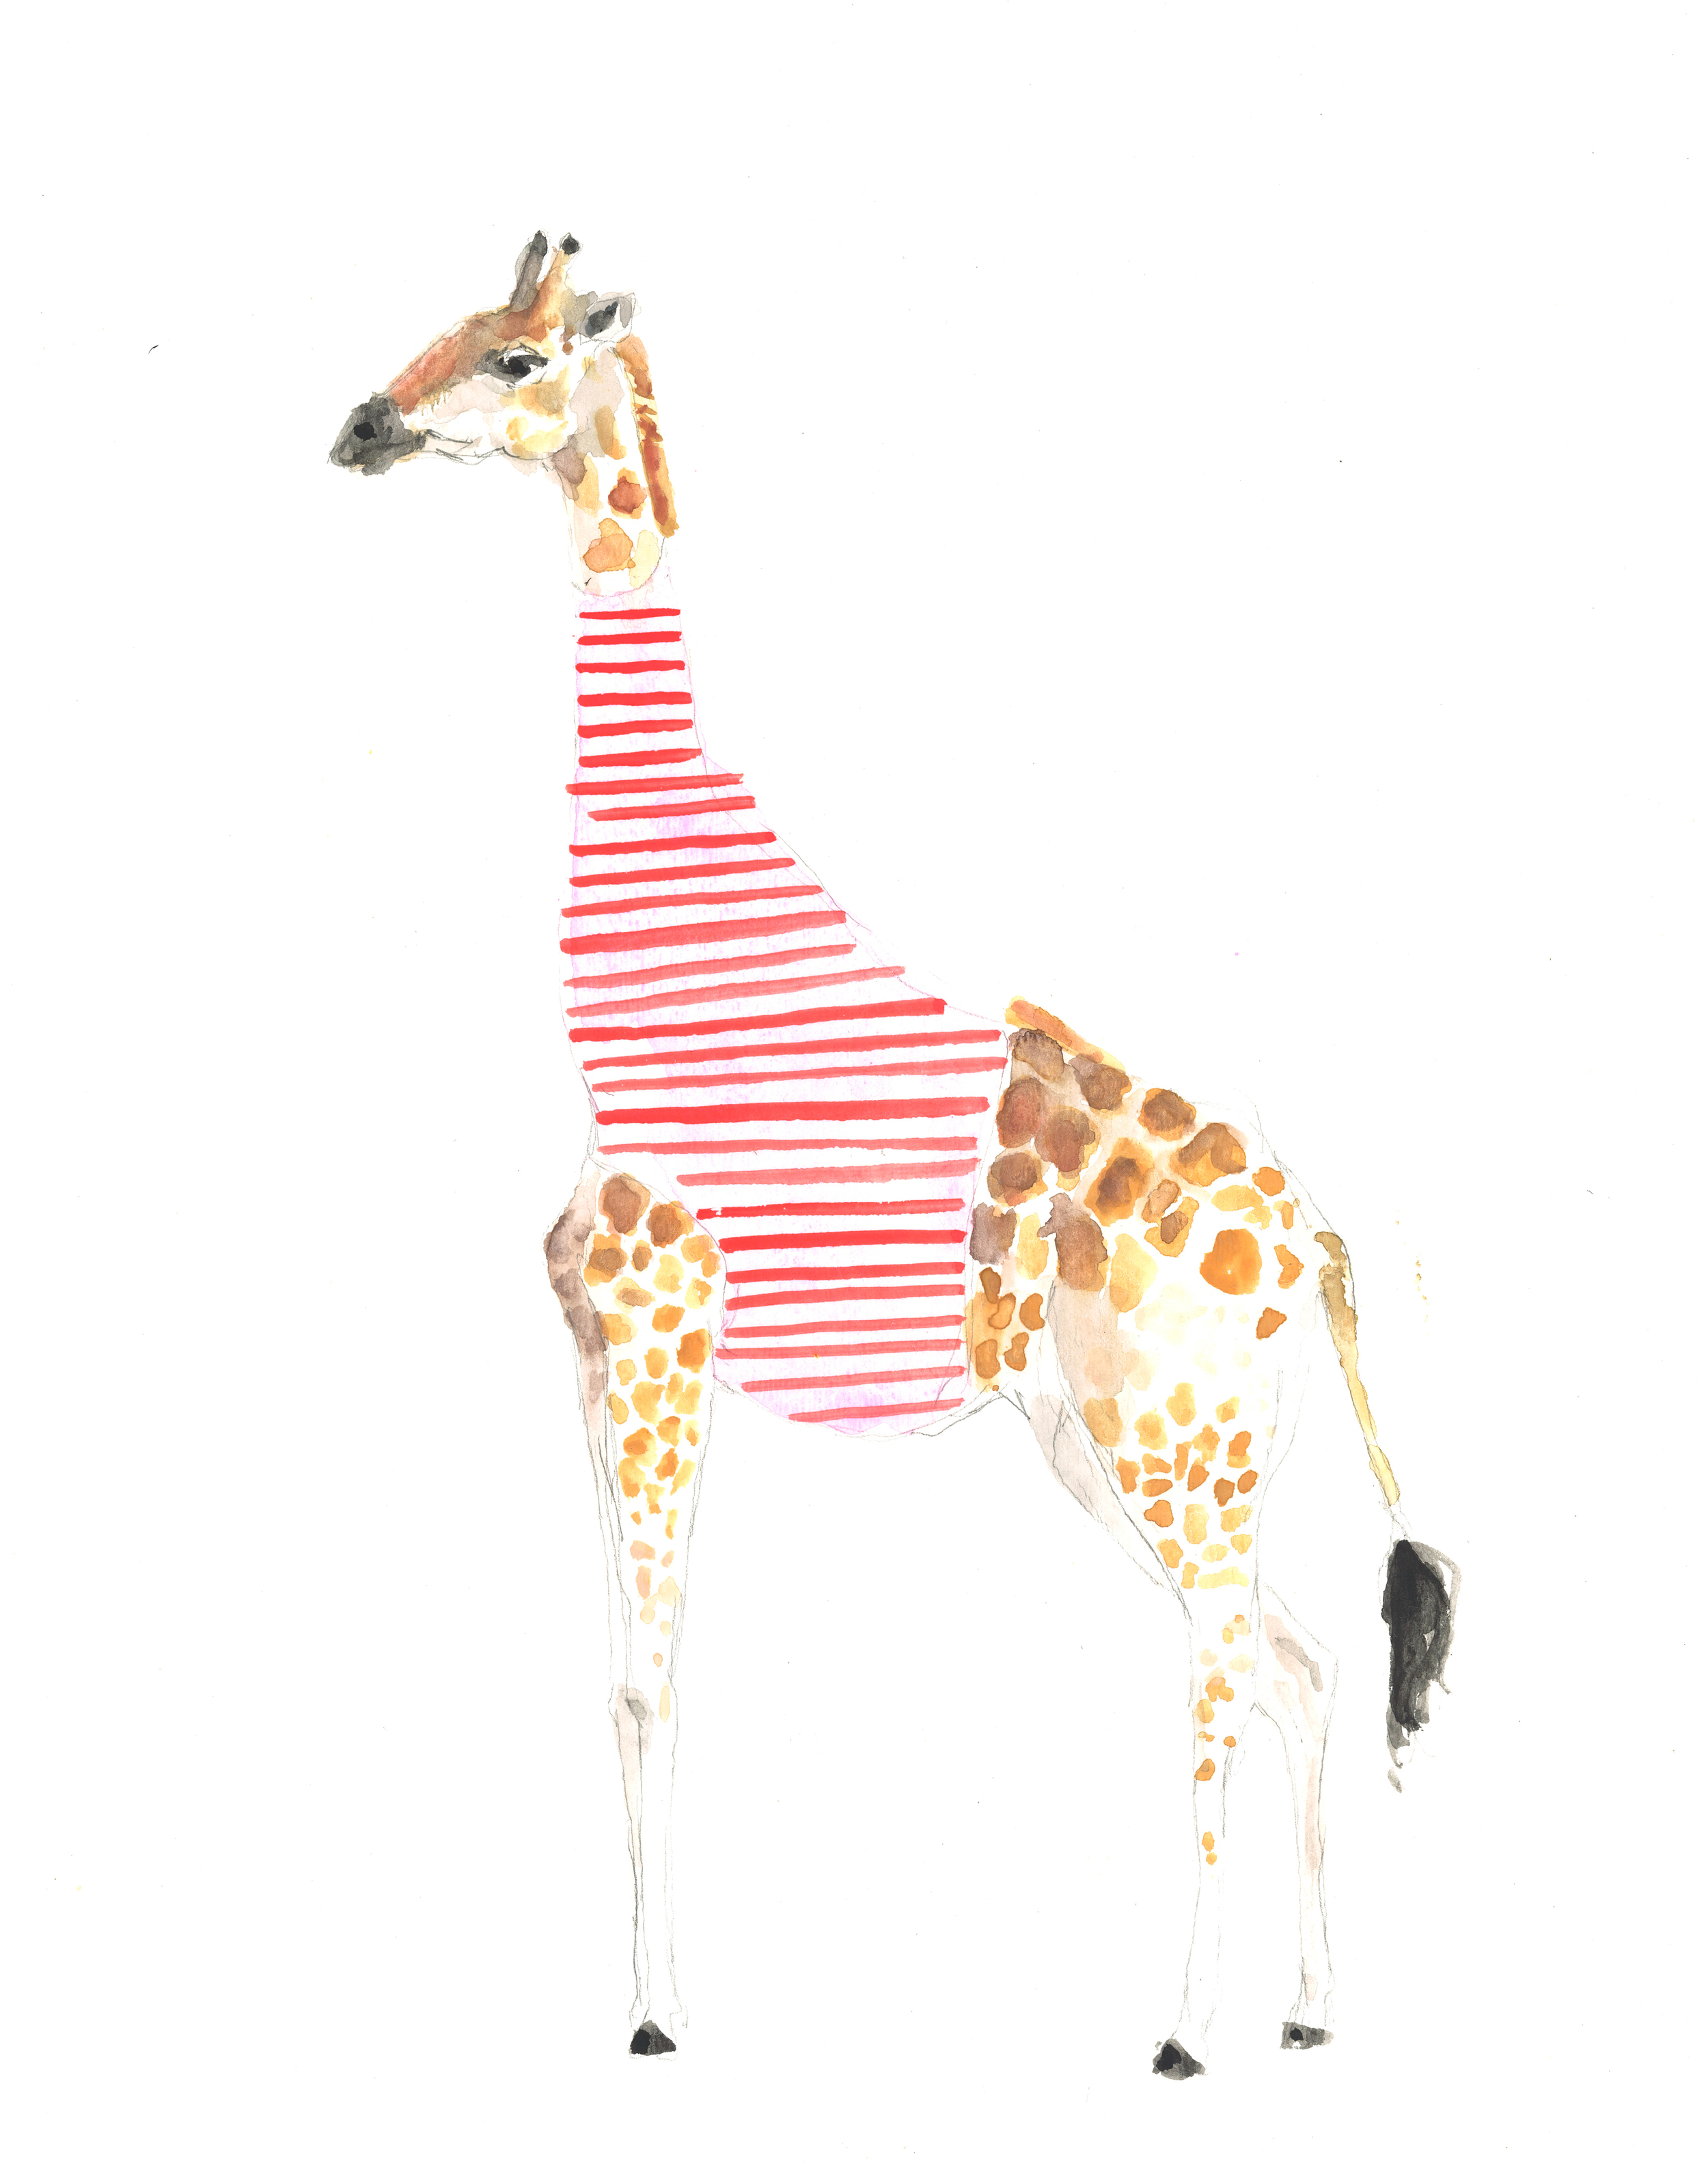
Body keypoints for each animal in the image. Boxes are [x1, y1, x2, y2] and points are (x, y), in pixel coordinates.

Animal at [330, 231, 1458, 2073]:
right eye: (441, 328)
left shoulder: (659, 1333)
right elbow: (626, 1673)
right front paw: (644, 2001)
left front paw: (656, 2018)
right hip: (1121, 1444)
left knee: (1229, 1663)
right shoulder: (597, 1356)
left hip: (1171, 1437)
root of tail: (1321, 1241)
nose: (358, 426)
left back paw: (1180, 2030)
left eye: (514, 357)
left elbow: (649, 1675)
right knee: (1300, 1657)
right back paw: (1301, 2012)